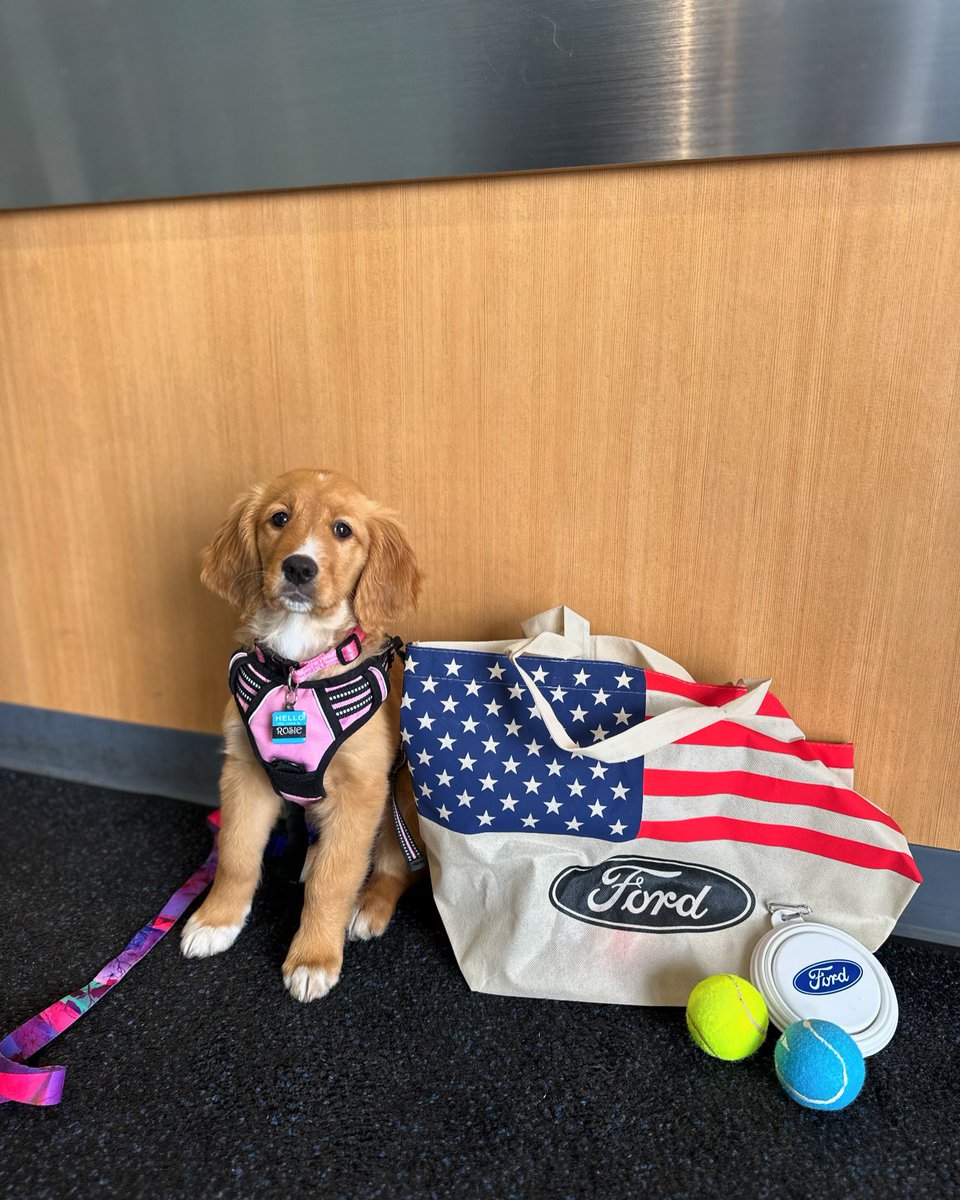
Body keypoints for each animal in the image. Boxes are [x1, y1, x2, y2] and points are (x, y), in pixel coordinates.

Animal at [182, 468, 422, 1003]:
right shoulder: (245, 771)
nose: (298, 567)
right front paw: (217, 919)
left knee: (393, 868)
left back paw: (367, 905)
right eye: (279, 519)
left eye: (342, 530)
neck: (298, 667)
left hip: (402, 795)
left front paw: (313, 956)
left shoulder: (362, 790)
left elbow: (334, 881)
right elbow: (236, 854)